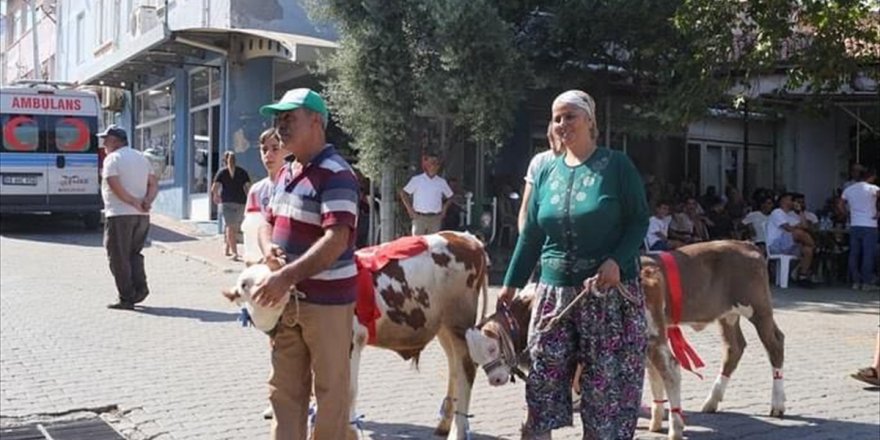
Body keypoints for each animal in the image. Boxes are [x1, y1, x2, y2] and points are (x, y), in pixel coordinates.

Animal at [223, 232, 488, 438]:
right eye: (245, 284)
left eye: (273, 275)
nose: (271, 291)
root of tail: (467, 238)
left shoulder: (349, 342)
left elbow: (347, 390)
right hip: (444, 326)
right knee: (454, 368)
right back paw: (444, 424)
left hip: (459, 322)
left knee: (466, 369)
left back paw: (457, 431)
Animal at [464, 241, 788, 440]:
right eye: (476, 357)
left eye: (492, 347)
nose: (495, 380)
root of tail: (747, 245)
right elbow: (650, 374)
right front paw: (656, 416)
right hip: (727, 315)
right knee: (734, 348)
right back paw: (709, 402)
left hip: (757, 309)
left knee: (774, 344)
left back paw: (776, 404)